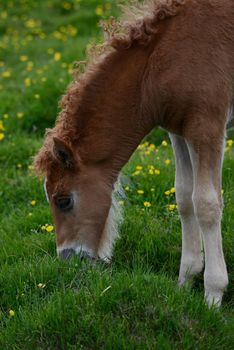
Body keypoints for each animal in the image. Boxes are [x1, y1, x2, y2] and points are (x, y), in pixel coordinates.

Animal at [34, 0, 234, 306]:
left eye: (64, 200)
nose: (69, 259)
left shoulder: (207, 126)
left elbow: (206, 203)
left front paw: (212, 296)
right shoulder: (178, 131)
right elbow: (184, 197)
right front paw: (185, 281)